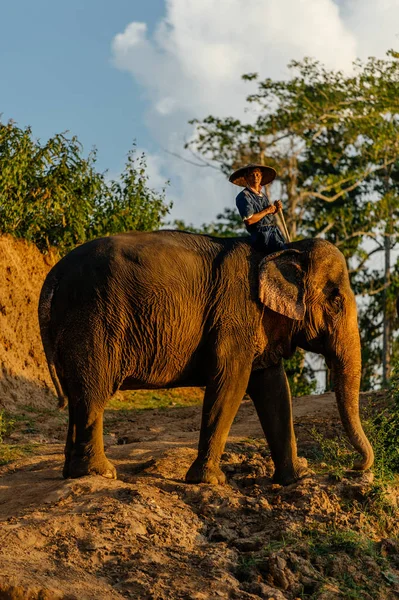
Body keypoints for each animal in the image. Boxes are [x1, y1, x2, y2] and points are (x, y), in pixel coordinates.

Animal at [39, 232, 374, 486]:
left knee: (77, 397)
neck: (280, 250)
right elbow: (231, 381)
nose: (356, 467)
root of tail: (53, 275)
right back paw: (101, 473)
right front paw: (211, 481)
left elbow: (274, 388)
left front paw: (296, 479)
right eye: (335, 300)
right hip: (93, 322)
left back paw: (72, 472)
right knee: (93, 393)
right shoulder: (235, 314)